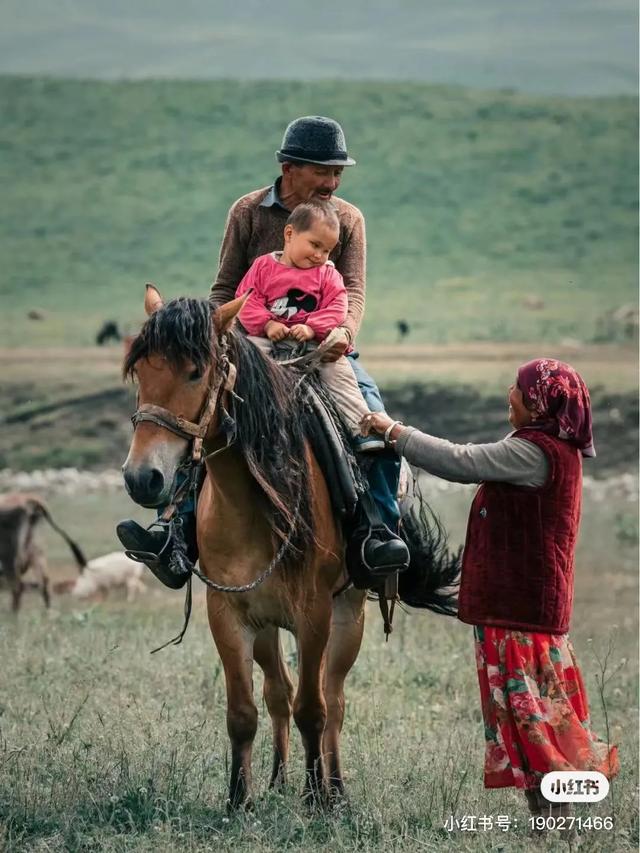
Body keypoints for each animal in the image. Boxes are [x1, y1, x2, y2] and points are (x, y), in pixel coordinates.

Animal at [122, 286, 458, 804]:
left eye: (196, 371)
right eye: (140, 371)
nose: (143, 478)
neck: (252, 505)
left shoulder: (313, 613)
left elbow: (313, 709)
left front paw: (318, 798)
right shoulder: (228, 613)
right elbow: (244, 712)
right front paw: (238, 800)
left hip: (348, 614)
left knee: (332, 700)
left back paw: (334, 789)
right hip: (266, 626)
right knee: (277, 693)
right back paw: (279, 781)